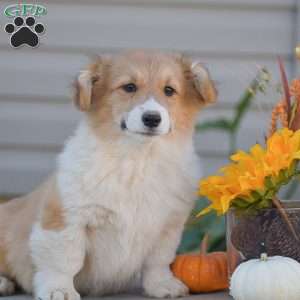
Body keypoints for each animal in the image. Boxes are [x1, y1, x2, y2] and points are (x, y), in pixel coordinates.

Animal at [0, 49, 217, 298]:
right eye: (129, 87)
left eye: (169, 90)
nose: (152, 118)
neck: (138, 160)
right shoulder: (67, 218)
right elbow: (64, 260)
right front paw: (59, 289)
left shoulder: (168, 225)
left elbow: (158, 261)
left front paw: (162, 285)